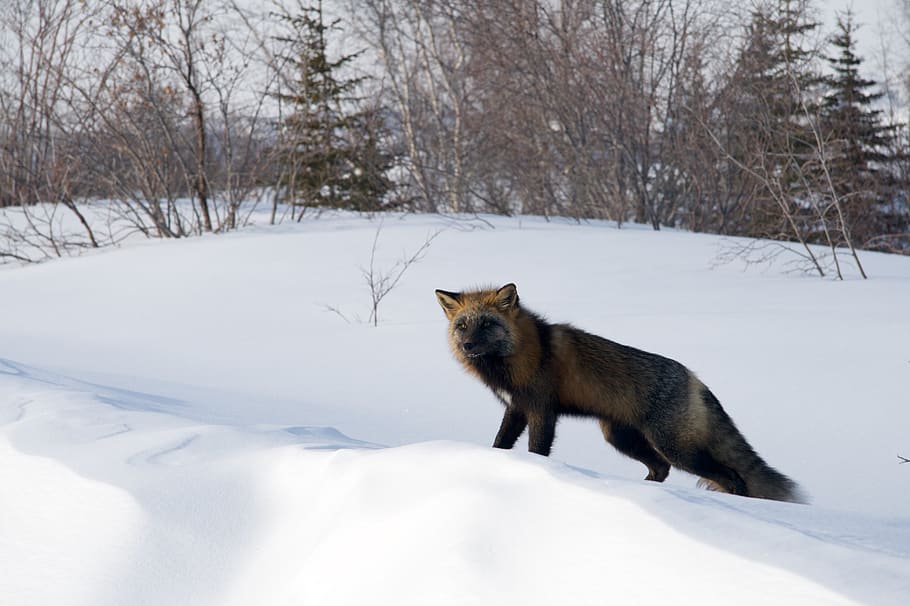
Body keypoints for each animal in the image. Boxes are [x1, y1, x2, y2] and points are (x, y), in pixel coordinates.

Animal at [435, 283, 805, 503]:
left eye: (487, 325)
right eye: (462, 326)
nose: (467, 347)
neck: (522, 354)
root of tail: (694, 378)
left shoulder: (541, 410)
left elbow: (536, 451)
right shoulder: (515, 408)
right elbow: (500, 443)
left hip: (676, 448)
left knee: (731, 475)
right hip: (622, 438)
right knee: (661, 469)